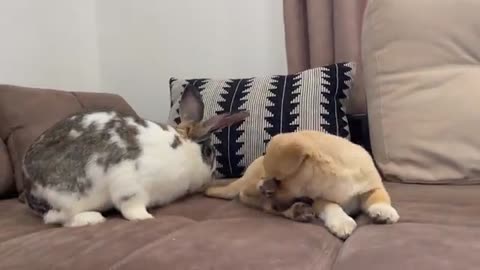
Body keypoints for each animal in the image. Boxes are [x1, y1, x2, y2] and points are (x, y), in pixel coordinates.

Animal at [21, 83, 249, 227]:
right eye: (209, 152)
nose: (212, 176)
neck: (183, 150)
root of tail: (29, 190)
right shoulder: (130, 185)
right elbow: (131, 208)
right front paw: (145, 218)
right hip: (67, 198)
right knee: (57, 218)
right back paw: (93, 219)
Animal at [204, 130, 400, 239]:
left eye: (278, 180)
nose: (265, 188)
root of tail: (244, 179)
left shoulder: (371, 186)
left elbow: (379, 196)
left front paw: (383, 211)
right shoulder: (319, 200)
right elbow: (332, 206)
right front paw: (342, 222)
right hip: (256, 193)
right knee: (268, 207)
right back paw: (295, 211)